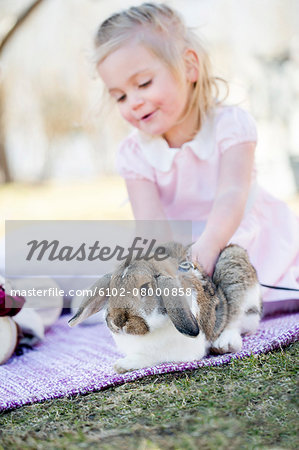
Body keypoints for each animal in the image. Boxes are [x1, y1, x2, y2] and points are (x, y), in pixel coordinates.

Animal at [68, 243, 262, 372]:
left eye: (145, 288)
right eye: (111, 290)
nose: (119, 321)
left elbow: (153, 357)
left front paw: (122, 365)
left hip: (234, 265)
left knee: (235, 318)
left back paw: (225, 344)